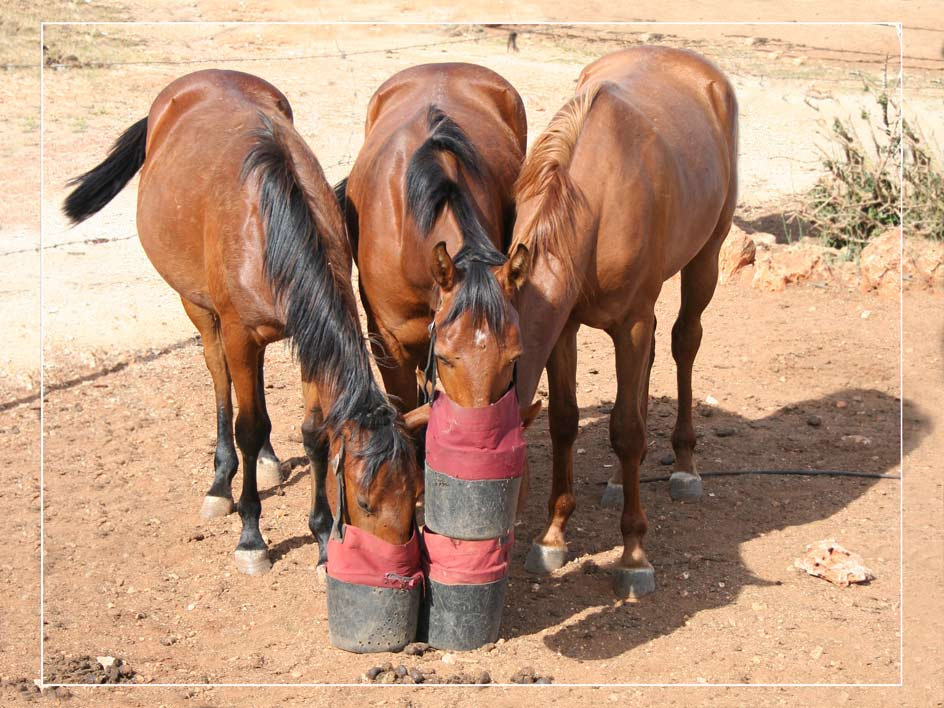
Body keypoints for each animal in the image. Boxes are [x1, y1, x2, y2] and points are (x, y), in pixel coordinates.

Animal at [62, 69, 428, 576]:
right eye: (363, 501)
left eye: (413, 494)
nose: (394, 567)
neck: (270, 227)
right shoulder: (239, 334)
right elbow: (248, 428)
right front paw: (252, 538)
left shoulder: (308, 338)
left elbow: (314, 433)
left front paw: (320, 539)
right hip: (200, 310)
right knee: (221, 380)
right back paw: (220, 484)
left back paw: (272, 460)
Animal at [423, 46, 739, 598]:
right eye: (443, 354)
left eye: (511, 359)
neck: (595, 201)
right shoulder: (564, 327)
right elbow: (565, 422)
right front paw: (552, 537)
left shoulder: (631, 323)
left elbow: (627, 431)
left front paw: (633, 555)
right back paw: (616, 482)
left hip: (707, 257)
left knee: (684, 343)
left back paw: (684, 466)